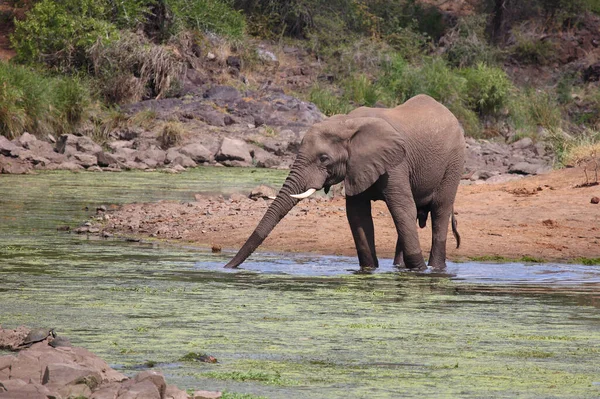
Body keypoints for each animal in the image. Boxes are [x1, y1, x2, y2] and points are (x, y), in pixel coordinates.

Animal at [225, 93, 464, 272]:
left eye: (323, 159)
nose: (226, 267)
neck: (347, 123)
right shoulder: (356, 167)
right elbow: (358, 215)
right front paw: (369, 270)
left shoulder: (397, 164)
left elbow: (401, 208)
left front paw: (419, 270)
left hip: (454, 162)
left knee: (440, 211)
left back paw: (434, 269)